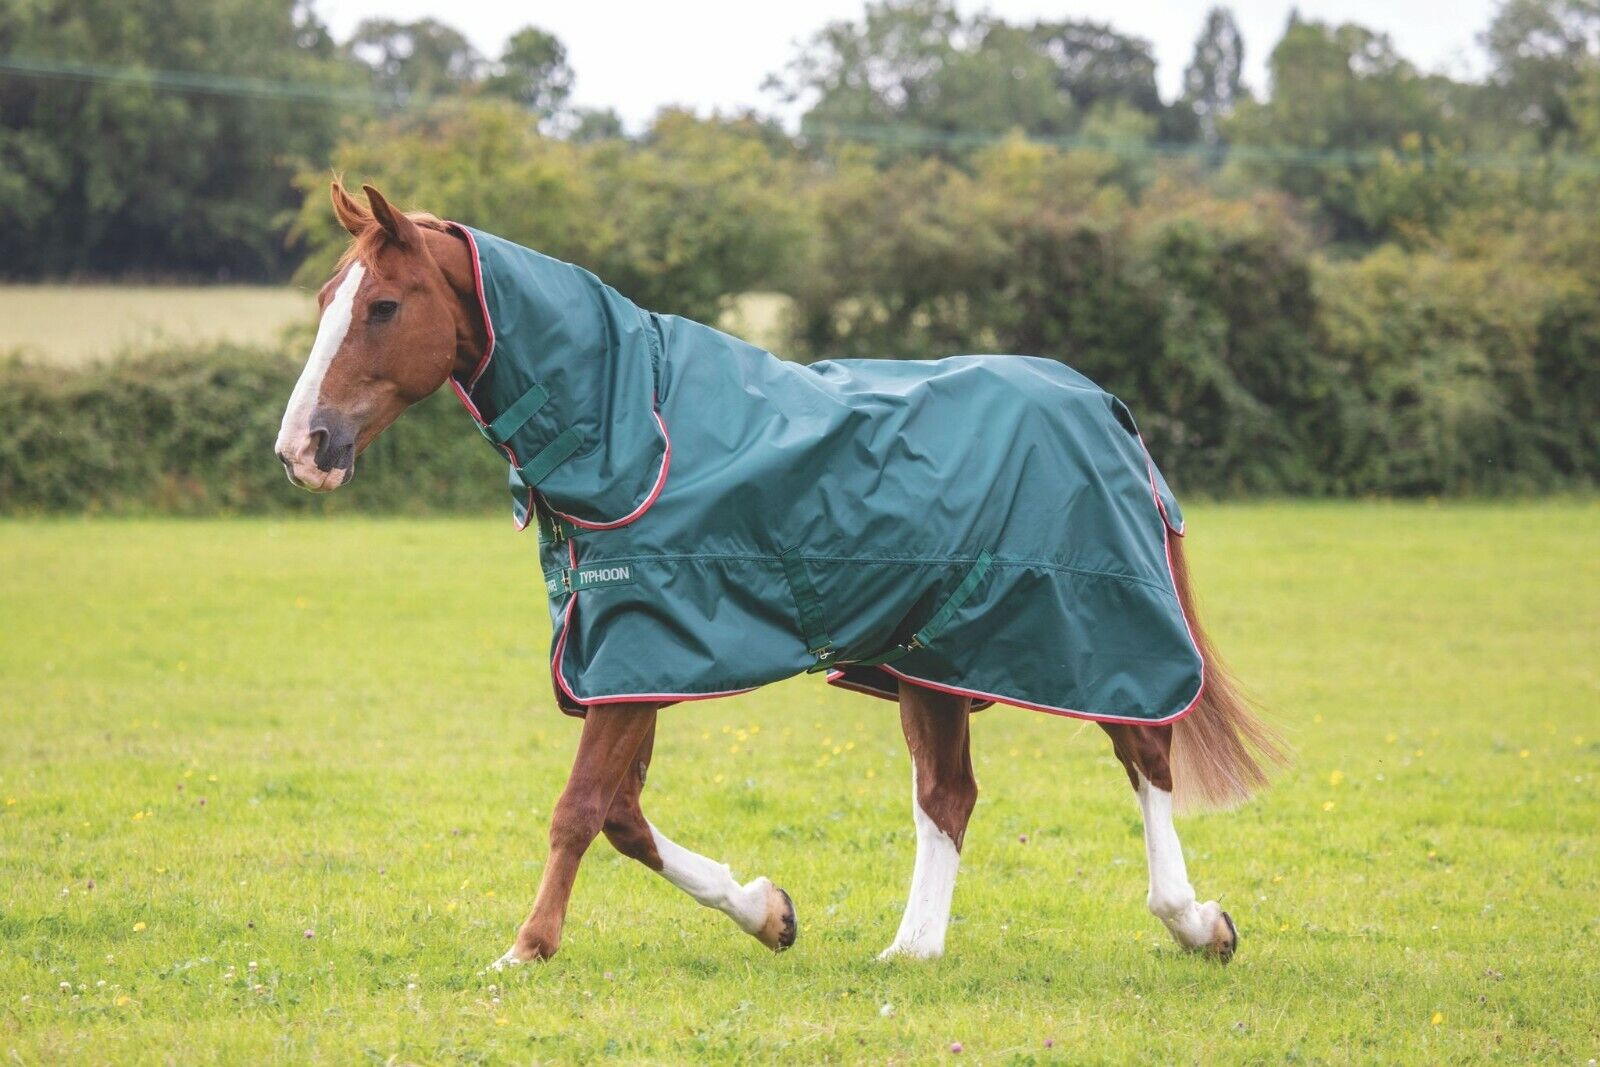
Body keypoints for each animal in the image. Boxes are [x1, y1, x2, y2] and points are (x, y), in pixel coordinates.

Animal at [275, 181, 1285, 969]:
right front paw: (769, 911)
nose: (303, 447)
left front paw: (525, 948)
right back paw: (911, 949)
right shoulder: (629, 659)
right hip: (934, 660)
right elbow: (624, 816)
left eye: (383, 306)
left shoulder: (639, 654)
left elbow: (581, 808)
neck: (631, 428)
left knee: (1146, 756)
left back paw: (1198, 923)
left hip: (1095, 636)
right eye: (328, 295)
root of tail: (1105, 405)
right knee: (948, 796)